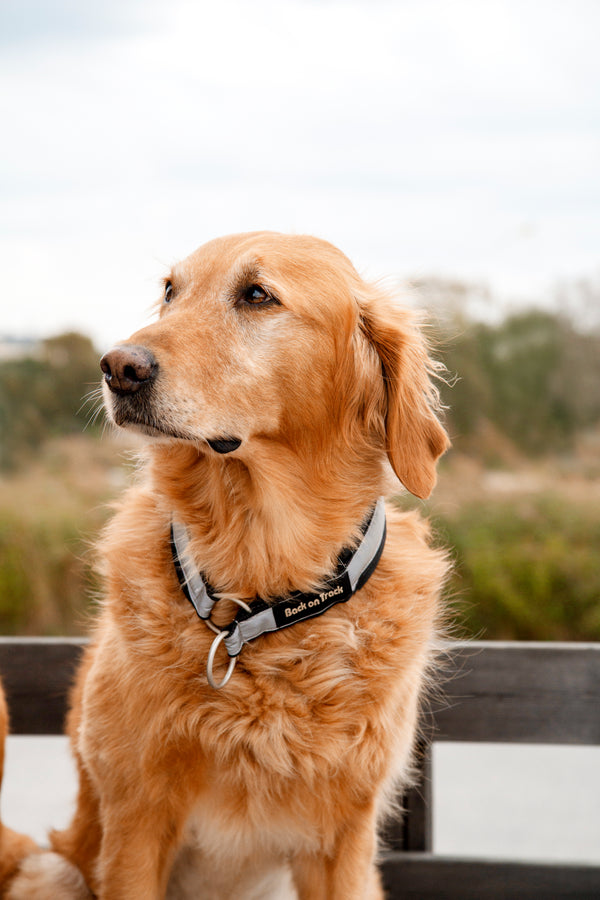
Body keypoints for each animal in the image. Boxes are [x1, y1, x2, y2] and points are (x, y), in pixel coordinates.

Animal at [5, 234, 450, 900]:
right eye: (170, 292)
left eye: (257, 295)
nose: (117, 367)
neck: (255, 589)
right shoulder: (135, 823)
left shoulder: (344, 840)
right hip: (53, 871)